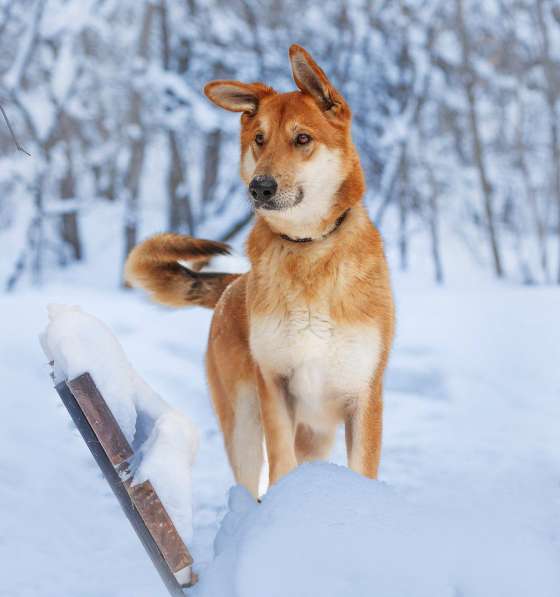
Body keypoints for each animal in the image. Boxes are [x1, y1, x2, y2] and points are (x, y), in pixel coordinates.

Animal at [124, 44, 396, 496]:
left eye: (302, 139)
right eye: (259, 140)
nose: (260, 187)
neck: (307, 248)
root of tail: (234, 285)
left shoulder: (362, 396)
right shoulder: (276, 386)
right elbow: (282, 466)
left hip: (315, 431)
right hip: (245, 426)